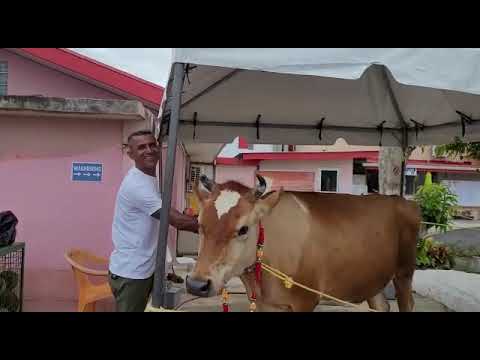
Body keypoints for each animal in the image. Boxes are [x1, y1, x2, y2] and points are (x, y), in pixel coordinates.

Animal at [185, 174, 420, 310]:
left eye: (243, 229)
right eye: (199, 224)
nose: (197, 284)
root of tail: (400, 200)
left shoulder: (304, 300)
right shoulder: (264, 304)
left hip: (404, 272)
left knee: (407, 302)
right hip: (373, 278)